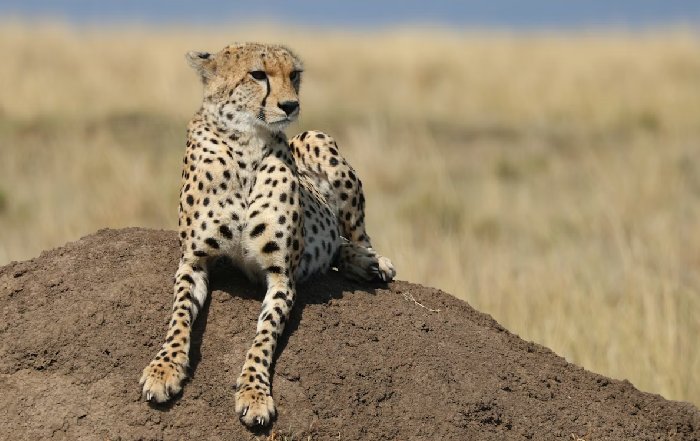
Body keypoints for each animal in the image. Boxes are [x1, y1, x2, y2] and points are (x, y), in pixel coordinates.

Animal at [139, 42, 395, 428]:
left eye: (295, 74)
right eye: (258, 74)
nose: (290, 105)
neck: (245, 142)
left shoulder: (281, 275)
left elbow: (263, 336)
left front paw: (254, 393)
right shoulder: (193, 261)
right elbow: (179, 314)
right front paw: (164, 368)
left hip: (317, 140)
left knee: (356, 237)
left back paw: (371, 263)